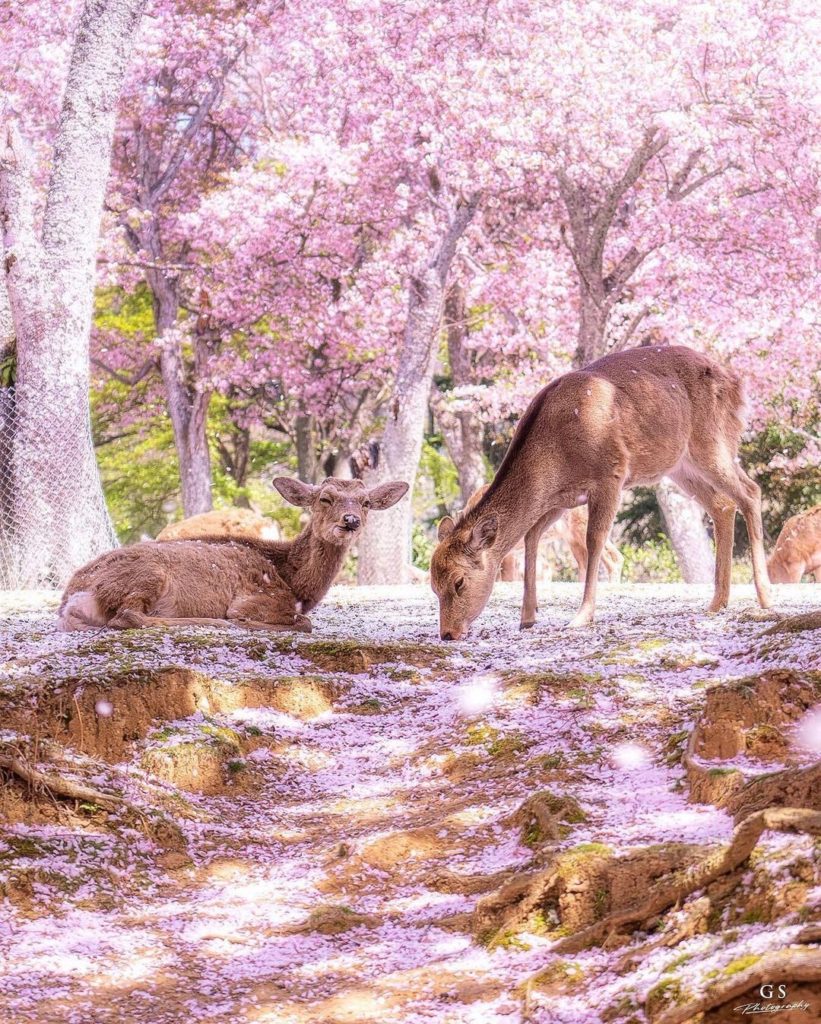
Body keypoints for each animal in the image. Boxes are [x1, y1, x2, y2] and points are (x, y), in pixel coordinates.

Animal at [58, 477, 408, 633]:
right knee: (128, 616)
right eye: (325, 498)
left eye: (365, 502)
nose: (351, 520)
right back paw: (210, 620)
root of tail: (72, 597)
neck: (293, 581)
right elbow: (304, 622)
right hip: (148, 574)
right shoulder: (259, 598)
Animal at [430, 346, 772, 640]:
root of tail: (737, 385)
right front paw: (527, 617)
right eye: (433, 585)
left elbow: (594, 541)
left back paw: (765, 597)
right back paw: (717, 601)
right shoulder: (560, 500)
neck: (555, 457)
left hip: (712, 441)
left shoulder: (611, 474)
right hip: (680, 465)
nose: (448, 634)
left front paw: (582, 616)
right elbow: (530, 536)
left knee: (751, 492)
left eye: (459, 582)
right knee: (722, 504)